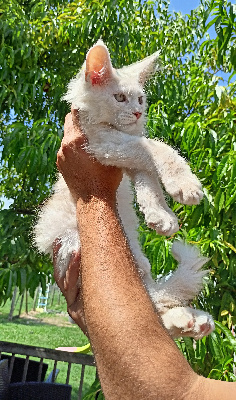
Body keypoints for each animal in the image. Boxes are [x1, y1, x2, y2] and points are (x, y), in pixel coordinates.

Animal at [34, 40, 215, 340]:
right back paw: (188, 321)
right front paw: (184, 184)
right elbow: (157, 148)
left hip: (137, 264)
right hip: (75, 246)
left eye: (140, 99)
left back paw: (193, 322)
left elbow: (149, 182)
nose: (139, 113)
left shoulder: (126, 157)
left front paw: (161, 216)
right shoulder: (105, 145)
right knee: (154, 306)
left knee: (154, 305)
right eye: (119, 98)